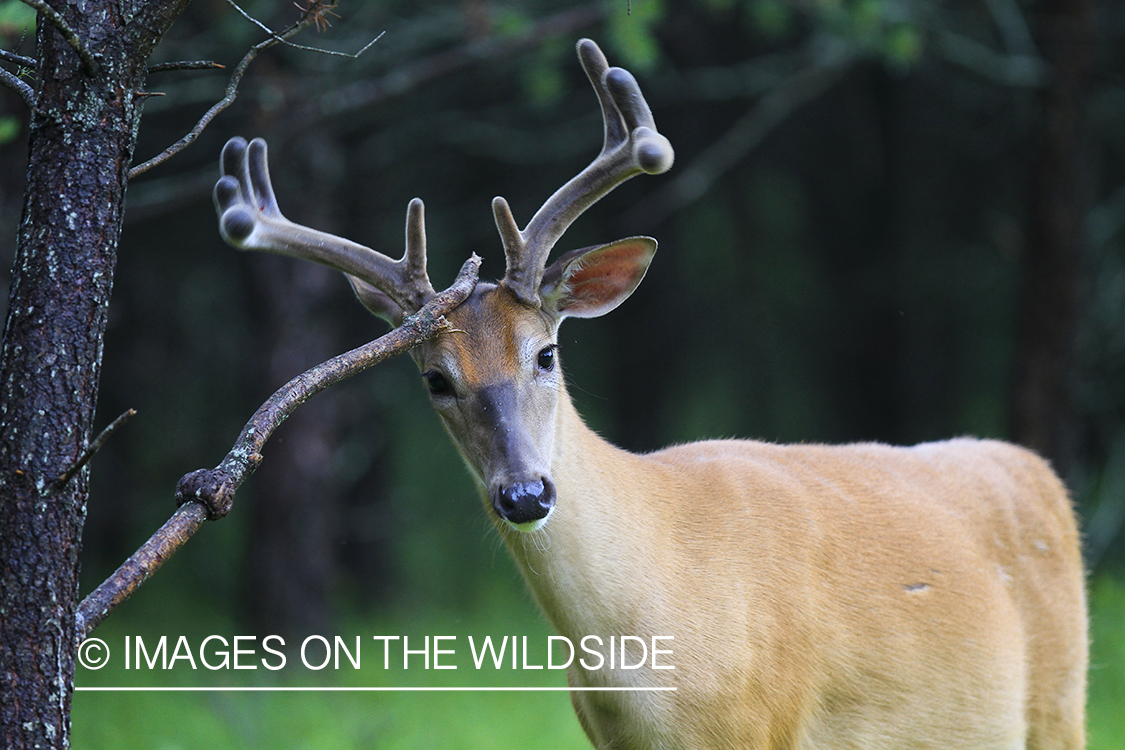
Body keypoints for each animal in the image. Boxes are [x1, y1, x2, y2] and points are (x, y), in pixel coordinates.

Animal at [213, 38, 1087, 750]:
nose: (524, 494)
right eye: (435, 379)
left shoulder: (763, 723)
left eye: (546, 353)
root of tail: (1038, 473)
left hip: (1058, 703)